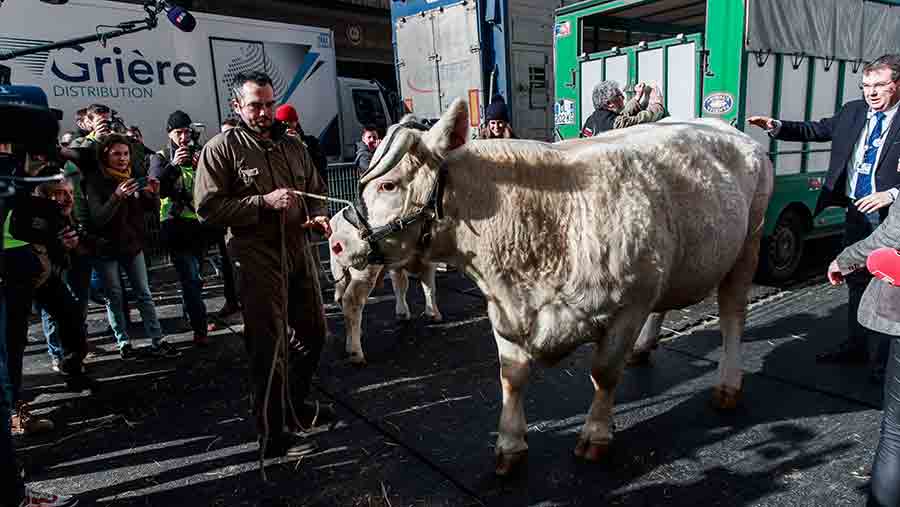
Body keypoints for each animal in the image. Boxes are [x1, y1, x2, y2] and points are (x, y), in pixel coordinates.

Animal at [330, 208, 442, 368]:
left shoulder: (398, 264)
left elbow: (400, 285)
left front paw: (402, 313)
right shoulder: (428, 260)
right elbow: (429, 286)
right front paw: (434, 314)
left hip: (340, 272)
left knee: (340, 299)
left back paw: (352, 337)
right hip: (365, 269)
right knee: (352, 301)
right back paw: (356, 353)